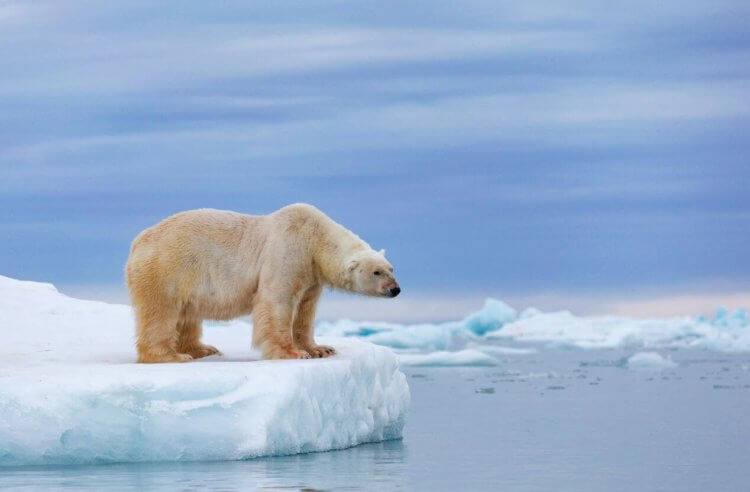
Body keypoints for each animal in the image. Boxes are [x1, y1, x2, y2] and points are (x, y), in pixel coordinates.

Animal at [126, 203, 402, 362]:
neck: (315, 238)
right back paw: (172, 355)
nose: (395, 289)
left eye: (391, 269)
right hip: (169, 268)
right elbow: (278, 301)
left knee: (187, 315)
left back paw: (202, 349)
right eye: (377, 272)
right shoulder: (288, 251)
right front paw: (293, 353)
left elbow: (305, 311)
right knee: (162, 312)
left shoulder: (311, 275)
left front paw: (320, 349)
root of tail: (138, 242)